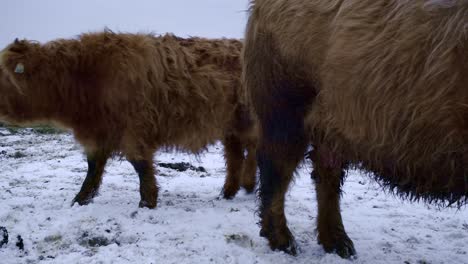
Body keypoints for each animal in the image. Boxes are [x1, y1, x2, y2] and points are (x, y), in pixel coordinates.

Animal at [0, 30, 256, 208]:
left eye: (4, 76)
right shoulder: (98, 133)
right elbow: (93, 168)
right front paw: (80, 199)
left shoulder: (135, 129)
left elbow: (140, 164)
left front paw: (147, 202)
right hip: (230, 127)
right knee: (235, 157)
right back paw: (228, 192)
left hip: (249, 122)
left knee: (252, 151)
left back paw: (249, 185)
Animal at [243, 0, 466, 258]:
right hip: (284, 101)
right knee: (277, 167)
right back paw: (284, 242)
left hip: (330, 123)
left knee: (325, 172)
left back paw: (340, 244)